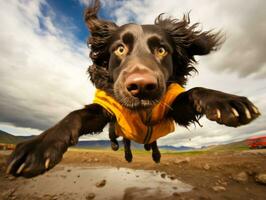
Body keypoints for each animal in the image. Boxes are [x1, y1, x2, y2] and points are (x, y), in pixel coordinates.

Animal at [6, 0, 260, 178]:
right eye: (120, 49)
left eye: (161, 50)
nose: (142, 87)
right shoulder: (105, 110)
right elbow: (76, 114)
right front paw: (39, 145)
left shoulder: (174, 108)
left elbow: (194, 91)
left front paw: (227, 101)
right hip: (117, 128)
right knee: (123, 139)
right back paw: (122, 150)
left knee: (152, 141)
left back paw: (155, 153)